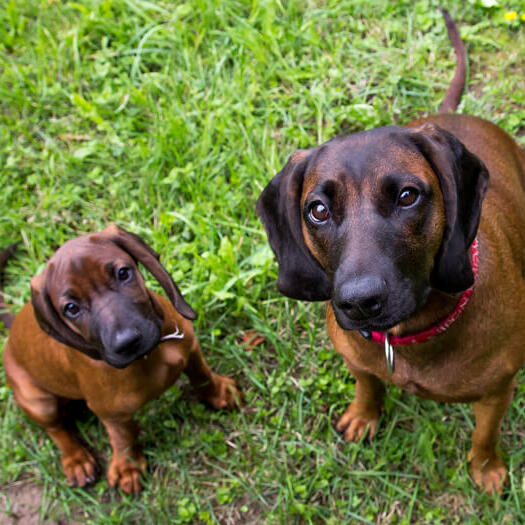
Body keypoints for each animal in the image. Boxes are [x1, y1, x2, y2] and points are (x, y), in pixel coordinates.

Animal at [1, 224, 239, 492]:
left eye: (123, 273)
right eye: (71, 308)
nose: (127, 342)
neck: (147, 356)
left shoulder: (190, 348)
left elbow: (202, 375)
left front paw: (220, 393)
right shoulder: (110, 412)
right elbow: (122, 435)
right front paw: (127, 466)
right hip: (38, 401)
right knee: (57, 429)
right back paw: (76, 459)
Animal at [256, 13, 524, 496]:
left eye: (407, 196)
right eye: (318, 210)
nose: (359, 303)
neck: (412, 337)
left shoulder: (498, 391)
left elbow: (485, 434)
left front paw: (486, 468)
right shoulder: (356, 360)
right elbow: (367, 384)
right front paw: (363, 414)